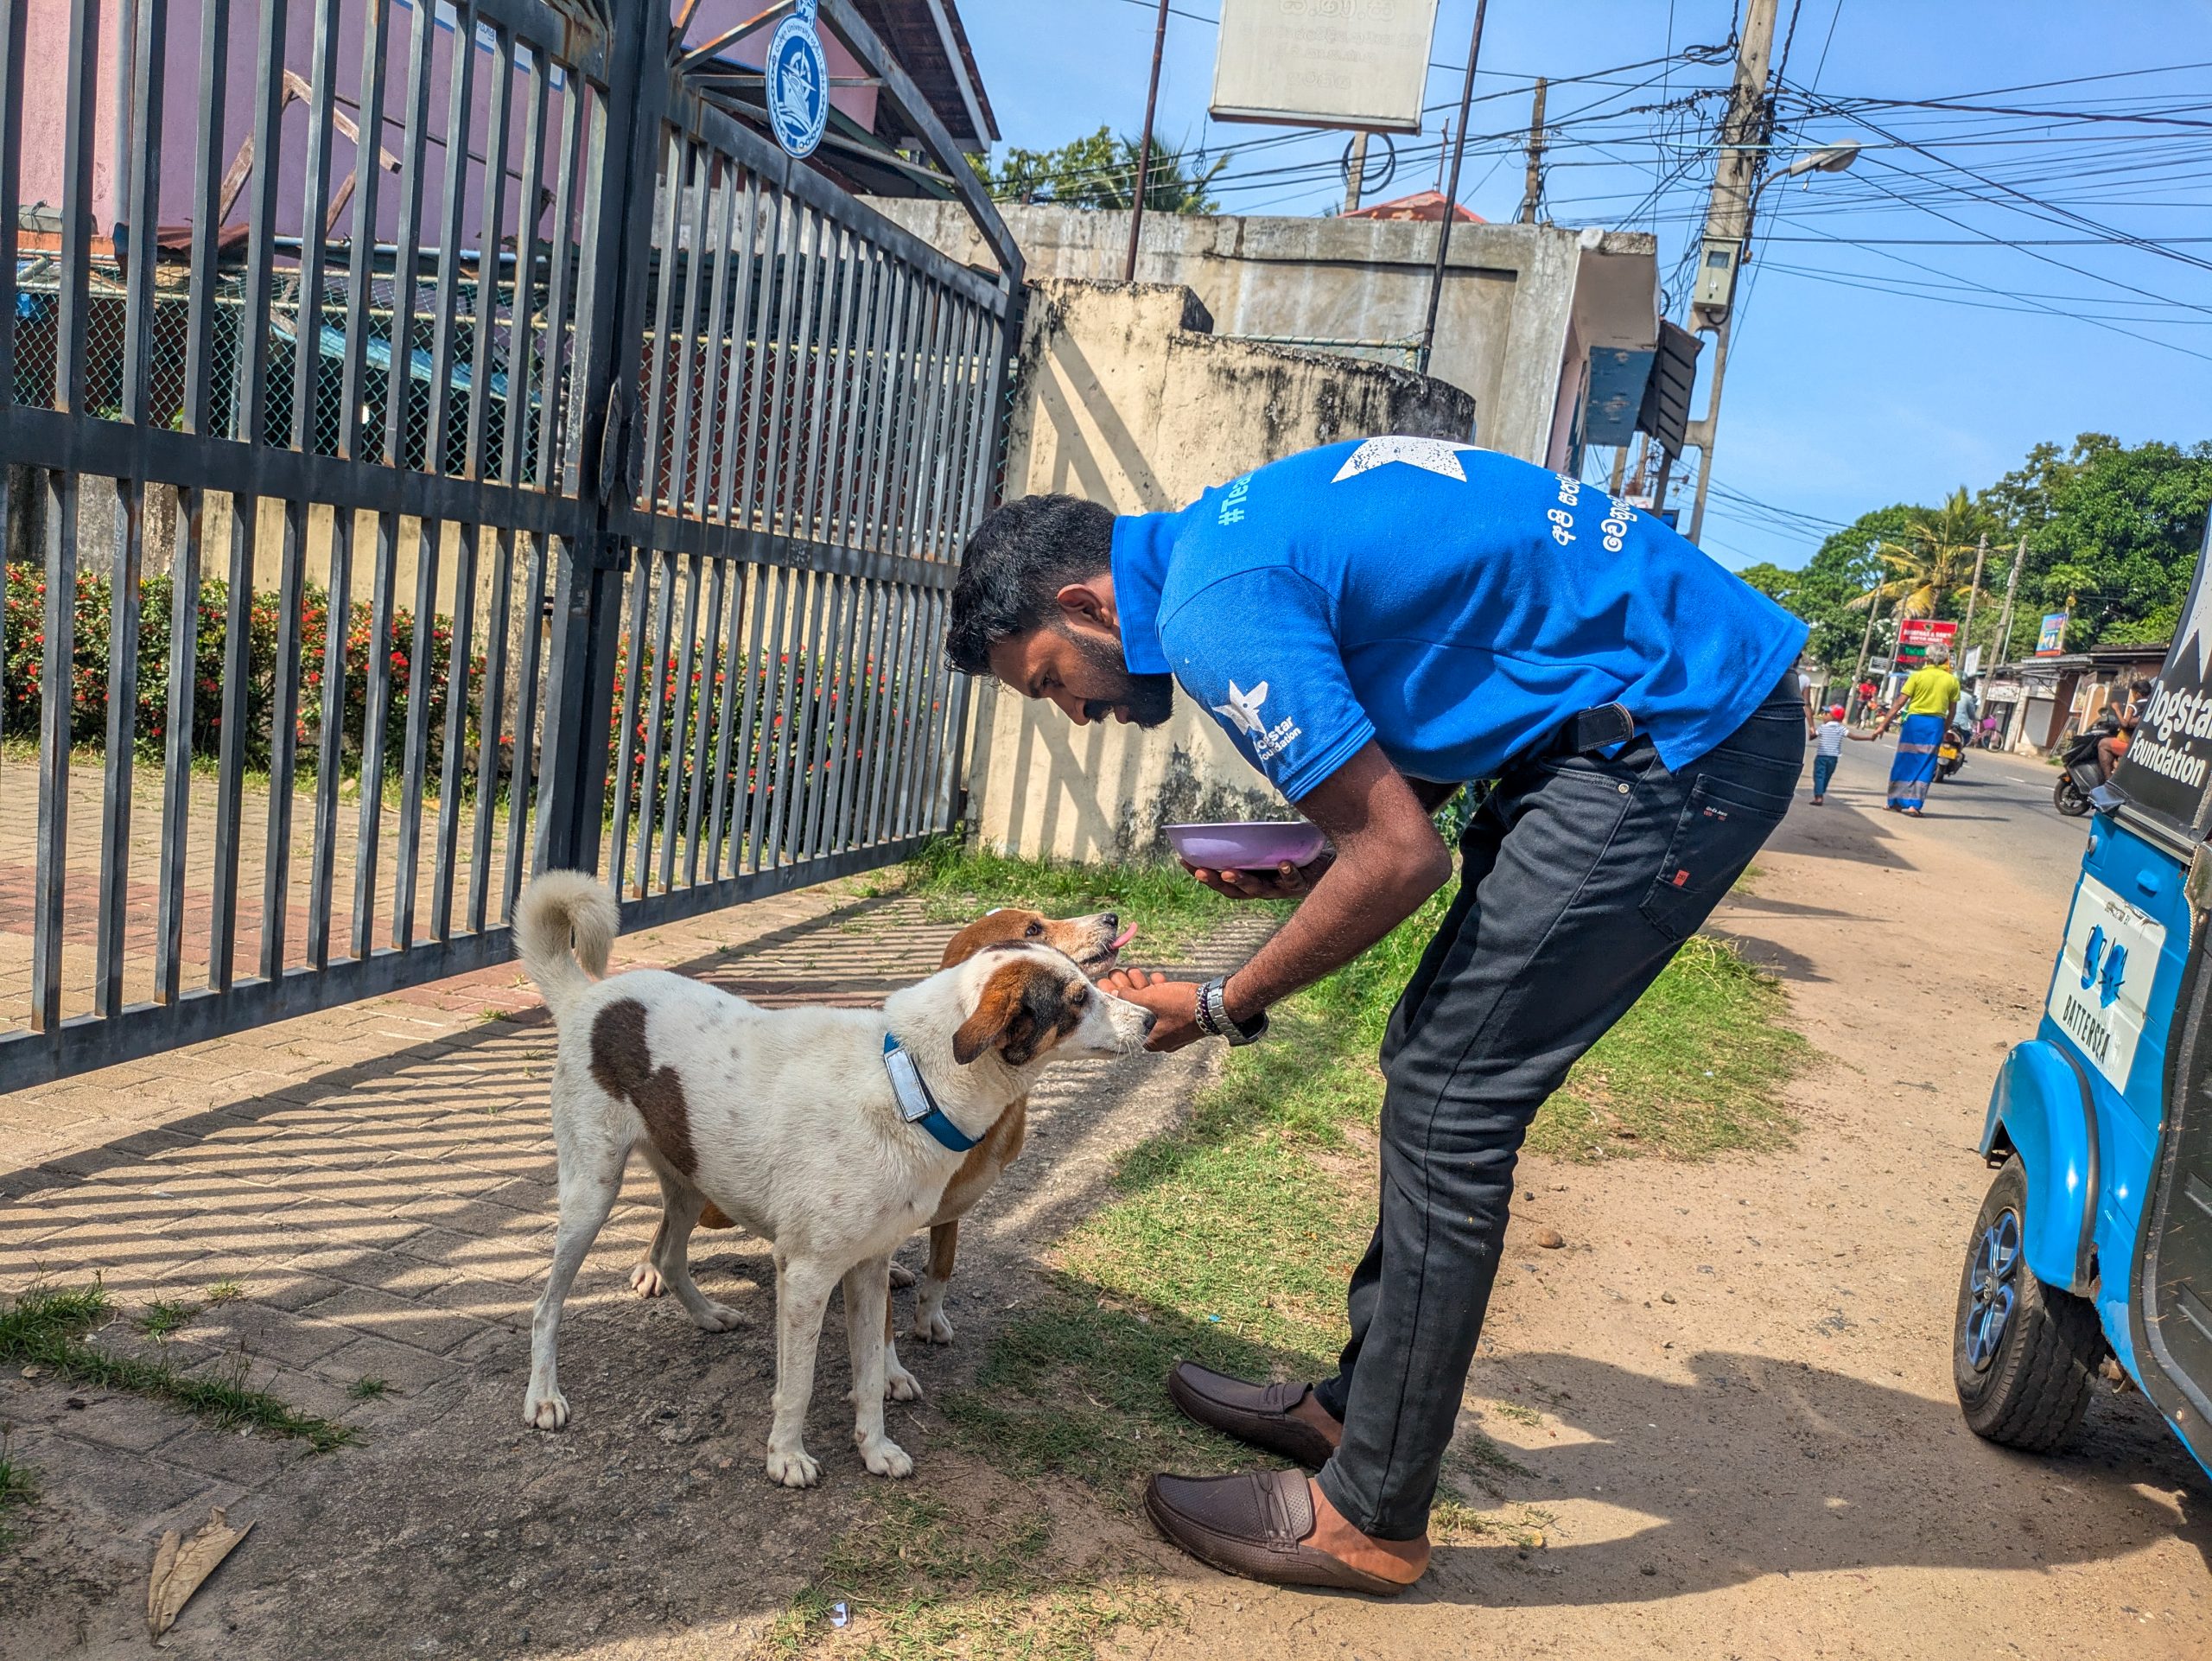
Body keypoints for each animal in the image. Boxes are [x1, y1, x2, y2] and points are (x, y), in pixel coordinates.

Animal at [506, 875, 1150, 1486]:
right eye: (1078, 999)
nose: (1147, 1018)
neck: (910, 1080)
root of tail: (587, 995)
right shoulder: (807, 1273)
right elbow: (799, 1383)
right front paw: (787, 1457)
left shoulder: (867, 1267)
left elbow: (869, 1375)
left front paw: (876, 1449)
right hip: (592, 1192)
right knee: (544, 1306)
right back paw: (543, 1397)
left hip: (691, 1179)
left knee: (668, 1254)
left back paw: (708, 1314)